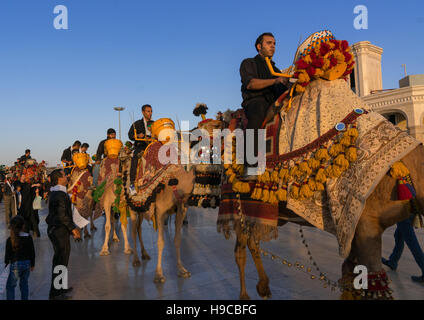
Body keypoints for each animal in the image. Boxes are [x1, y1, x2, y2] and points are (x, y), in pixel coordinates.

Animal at [215, 30, 424, 300]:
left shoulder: (354, 232)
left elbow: (351, 280)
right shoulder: (365, 226)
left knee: (253, 241)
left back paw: (264, 287)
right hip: (235, 200)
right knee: (241, 248)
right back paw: (245, 295)